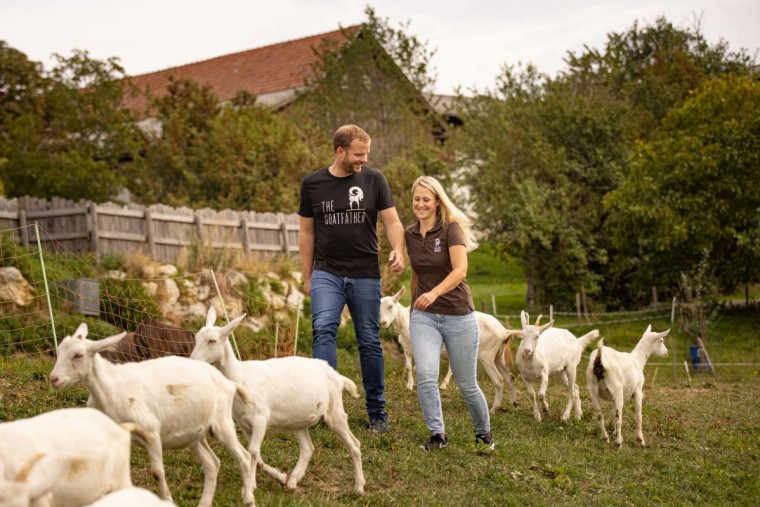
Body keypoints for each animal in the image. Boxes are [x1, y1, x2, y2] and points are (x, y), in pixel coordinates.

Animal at [51, 326, 258, 507]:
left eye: (78, 355)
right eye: (59, 351)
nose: (54, 379)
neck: (110, 387)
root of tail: (228, 383)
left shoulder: (151, 431)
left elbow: (157, 472)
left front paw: (167, 500)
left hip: (222, 423)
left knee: (244, 457)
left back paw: (249, 498)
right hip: (194, 434)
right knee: (212, 464)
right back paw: (204, 503)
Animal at [191, 308, 366, 494]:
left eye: (212, 340)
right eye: (196, 337)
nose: (193, 360)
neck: (241, 377)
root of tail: (336, 375)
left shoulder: (261, 419)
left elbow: (253, 452)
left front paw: (250, 486)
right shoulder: (245, 424)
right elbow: (256, 455)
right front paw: (279, 477)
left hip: (335, 411)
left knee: (354, 444)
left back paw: (359, 487)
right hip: (299, 419)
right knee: (307, 448)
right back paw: (292, 480)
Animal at [378, 286, 520, 412]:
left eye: (390, 306)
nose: (383, 323)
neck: (404, 323)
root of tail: (504, 331)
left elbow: (416, 368)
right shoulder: (407, 349)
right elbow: (408, 367)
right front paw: (409, 385)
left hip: (487, 355)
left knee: (498, 379)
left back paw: (494, 408)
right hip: (498, 355)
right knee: (509, 377)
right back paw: (513, 405)